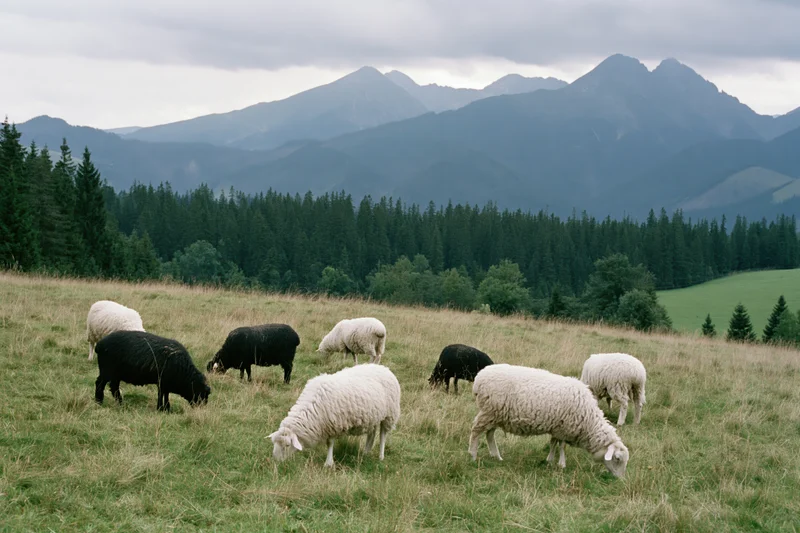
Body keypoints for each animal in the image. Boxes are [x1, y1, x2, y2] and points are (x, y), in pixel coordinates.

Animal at [269, 363, 401, 468]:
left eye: (287, 445)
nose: (276, 462)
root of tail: (384, 368)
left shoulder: (332, 424)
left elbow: (330, 443)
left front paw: (328, 463)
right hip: (372, 415)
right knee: (371, 434)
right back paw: (366, 452)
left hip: (389, 414)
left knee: (383, 435)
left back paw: (381, 456)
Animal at [468, 363, 629, 478]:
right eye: (617, 459)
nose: (620, 480)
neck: (589, 422)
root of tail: (479, 378)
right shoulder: (564, 429)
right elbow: (562, 446)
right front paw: (561, 464)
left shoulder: (557, 427)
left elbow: (553, 443)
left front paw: (549, 460)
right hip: (489, 411)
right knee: (476, 431)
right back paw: (473, 455)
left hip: (495, 415)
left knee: (489, 434)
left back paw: (496, 456)